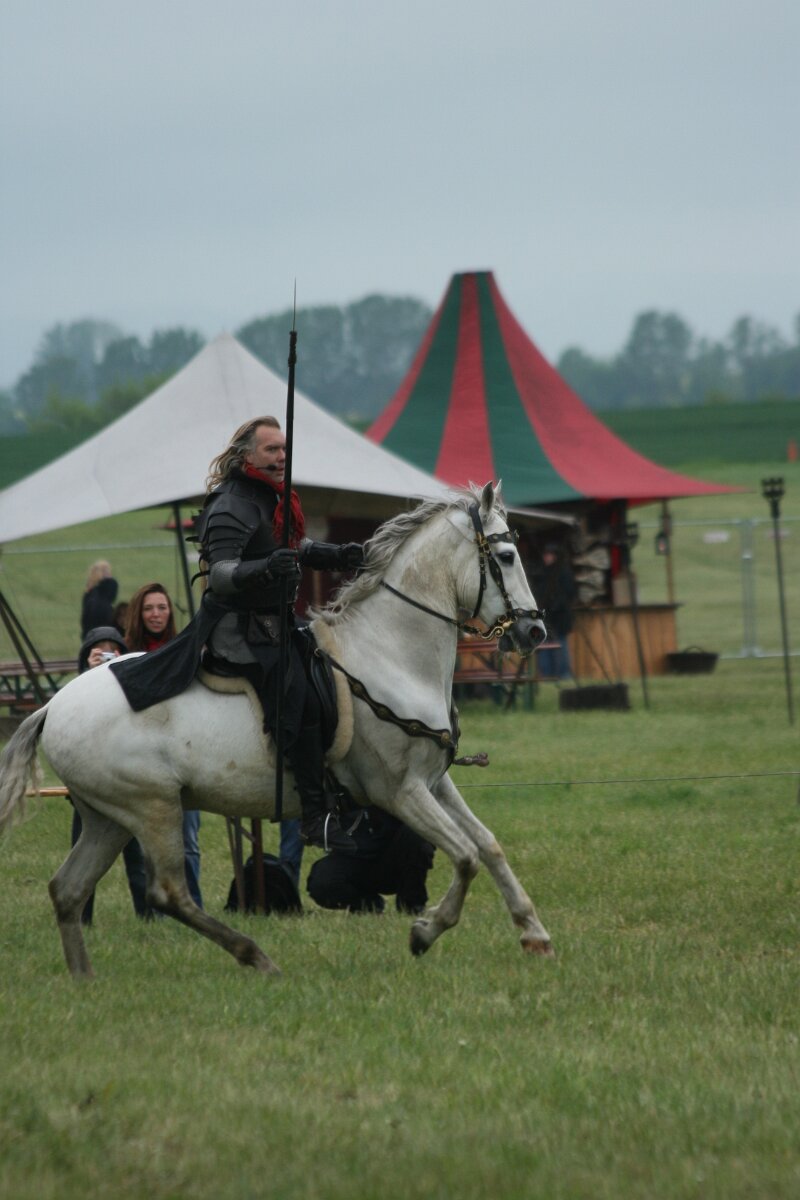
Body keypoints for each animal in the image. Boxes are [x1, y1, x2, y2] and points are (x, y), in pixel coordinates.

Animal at [0, 482, 553, 978]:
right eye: (506, 556)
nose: (534, 631)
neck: (390, 654)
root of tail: (52, 707)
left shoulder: (434, 782)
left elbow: (488, 846)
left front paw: (534, 934)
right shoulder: (399, 792)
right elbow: (465, 857)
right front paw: (425, 931)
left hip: (107, 818)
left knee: (68, 889)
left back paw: (84, 977)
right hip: (152, 808)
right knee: (167, 892)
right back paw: (254, 956)